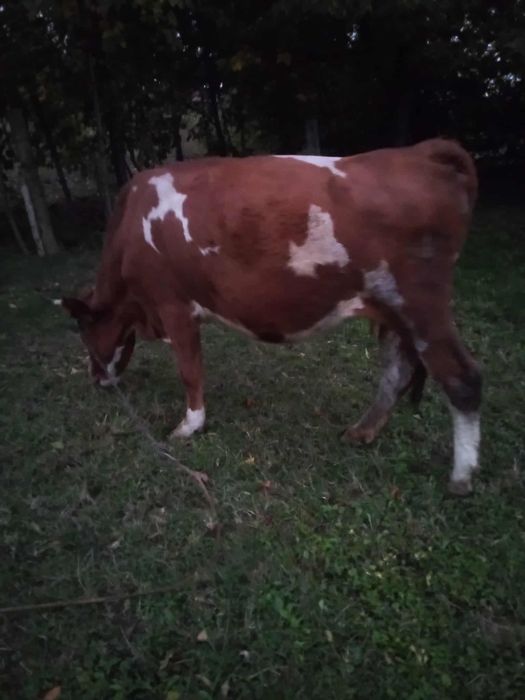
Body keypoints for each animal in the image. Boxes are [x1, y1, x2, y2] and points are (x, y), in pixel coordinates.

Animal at [60, 139, 481, 495]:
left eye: (83, 329)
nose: (95, 378)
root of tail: (421, 152)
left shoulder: (174, 305)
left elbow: (190, 371)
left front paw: (189, 426)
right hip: (391, 306)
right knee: (396, 372)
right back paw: (362, 432)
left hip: (421, 303)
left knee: (462, 378)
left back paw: (461, 477)